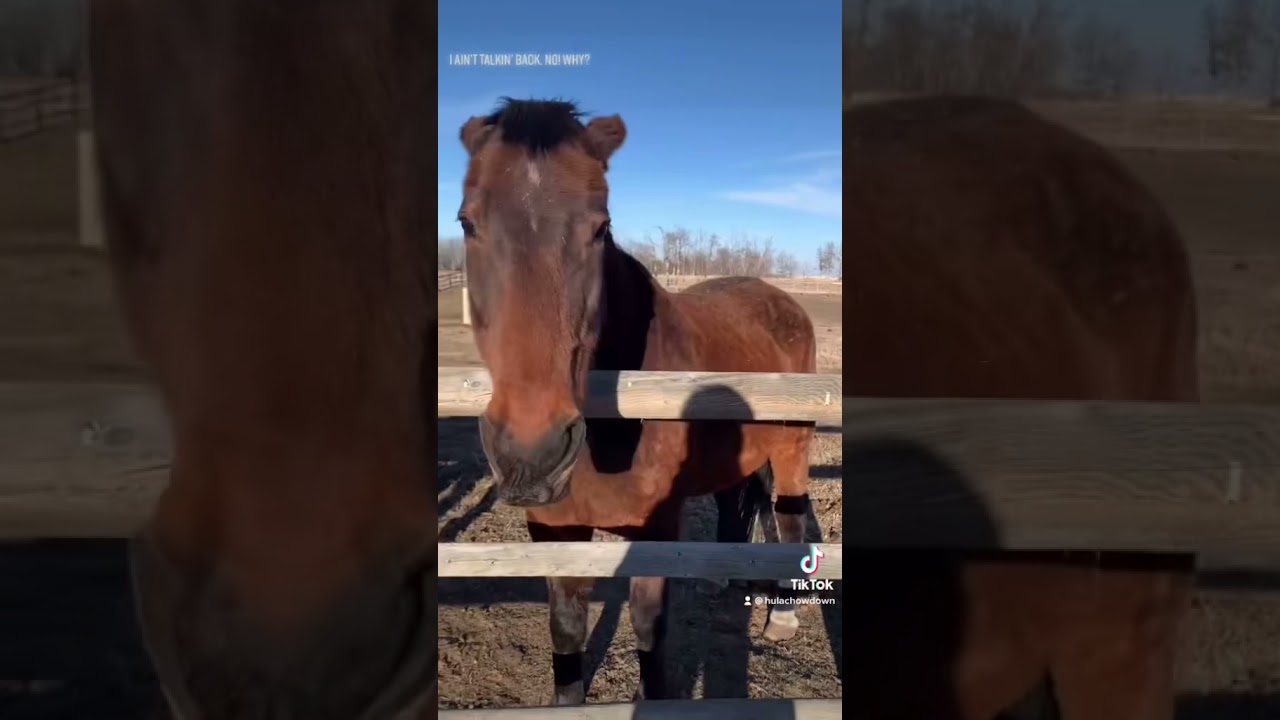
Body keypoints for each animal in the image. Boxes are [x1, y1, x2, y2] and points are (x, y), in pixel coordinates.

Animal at [455, 98, 819, 704]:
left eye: (600, 227)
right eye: (466, 221)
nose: (532, 453)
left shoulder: (655, 528)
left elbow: (650, 628)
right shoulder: (554, 532)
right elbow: (566, 630)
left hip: (793, 445)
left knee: (789, 517)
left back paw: (784, 615)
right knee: (738, 498)